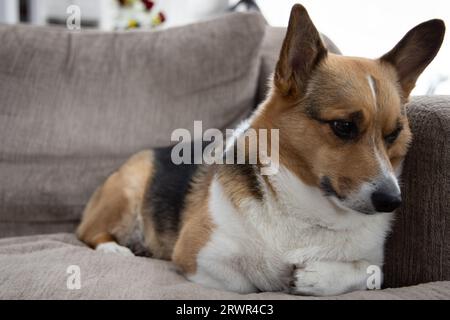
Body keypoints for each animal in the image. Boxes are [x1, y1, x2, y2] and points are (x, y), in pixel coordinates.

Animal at [75, 3, 444, 296]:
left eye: (394, 133)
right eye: (343, 126)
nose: (391, 200)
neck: (311, 213)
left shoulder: (374, 264)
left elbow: (370, 273)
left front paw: (315, 277)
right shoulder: (197, 254)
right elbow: (246, 281)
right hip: (128, 190)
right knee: (88, 232)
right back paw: (116, 250)